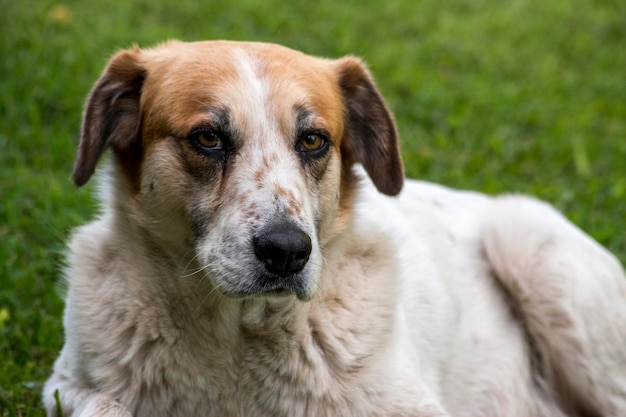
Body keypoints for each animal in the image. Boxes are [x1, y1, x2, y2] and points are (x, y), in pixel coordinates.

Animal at [44, 39, 624, 416]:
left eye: (313, 141)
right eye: (207, 138)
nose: (287, 251)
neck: (236, 336)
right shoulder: (64, 385)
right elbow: (109, 408)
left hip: (538, 258)